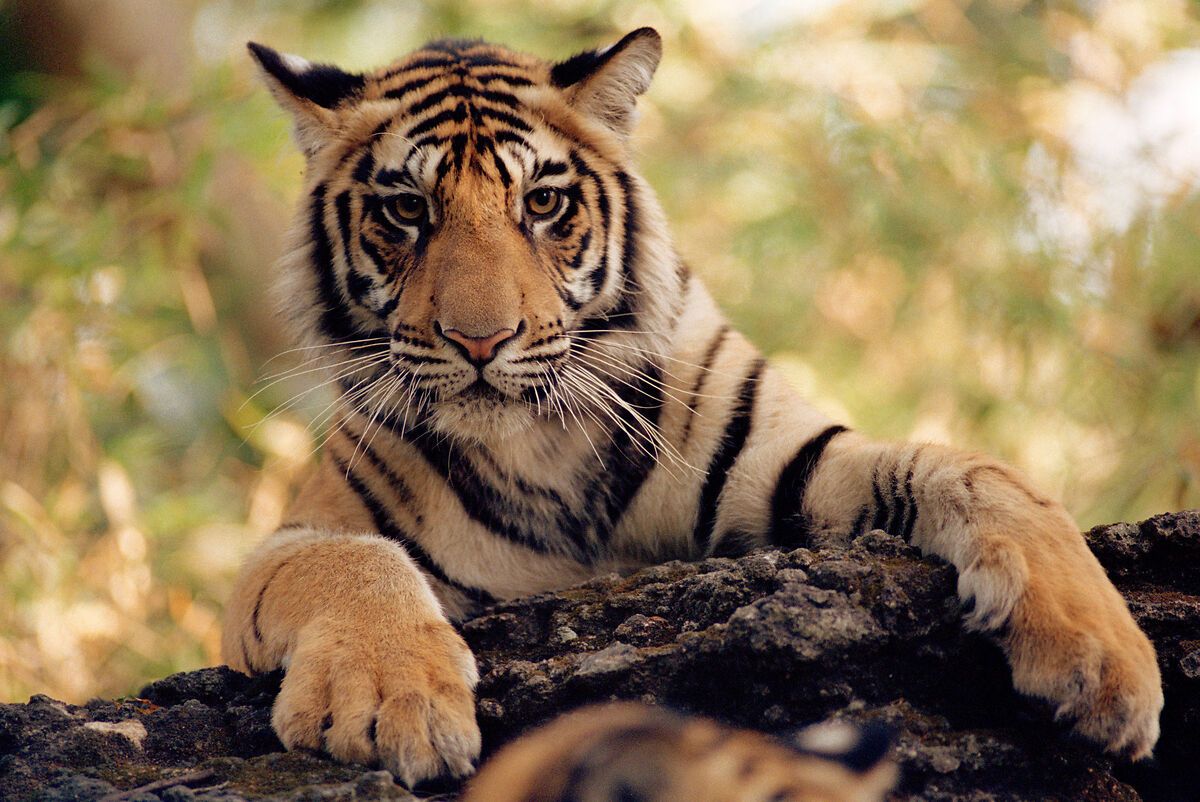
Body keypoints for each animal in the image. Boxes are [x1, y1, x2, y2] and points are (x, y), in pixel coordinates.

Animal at [222, 27, 1163, 788]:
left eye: (542, 202)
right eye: (407, 209)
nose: (481, 341)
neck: (539, 443)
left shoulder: (788, 461)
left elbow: (978, 471)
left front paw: (1102, 661)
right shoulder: (291, 543)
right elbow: (353, 560)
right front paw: (392, 702)